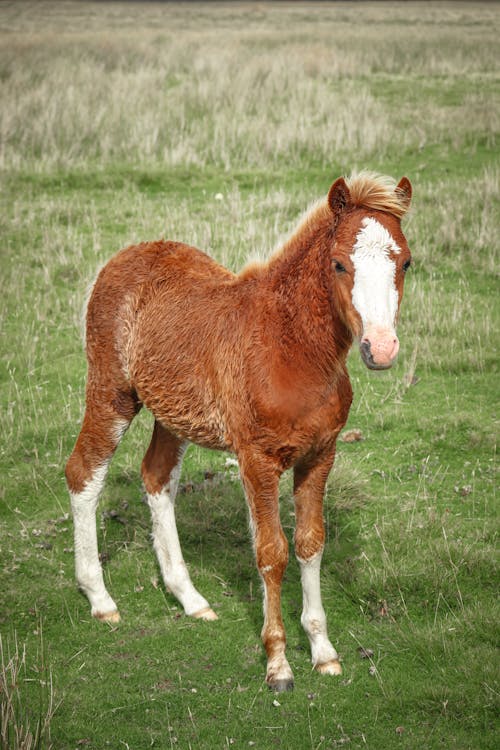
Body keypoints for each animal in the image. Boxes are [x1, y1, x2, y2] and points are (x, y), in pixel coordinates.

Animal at [64, 170, 412, 692]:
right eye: (338, 264)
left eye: (406, 262)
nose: (381, 348)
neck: (291, 347)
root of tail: (126, 255)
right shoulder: (257, 459)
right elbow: (272, 552)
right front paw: (278, 665)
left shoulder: (321, 454)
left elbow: (311, 543)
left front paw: (324, 651)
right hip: (112, 393)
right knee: (84, 473)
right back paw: (101, 600)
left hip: (173, 411)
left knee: (156, 478)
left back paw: (190, 599)